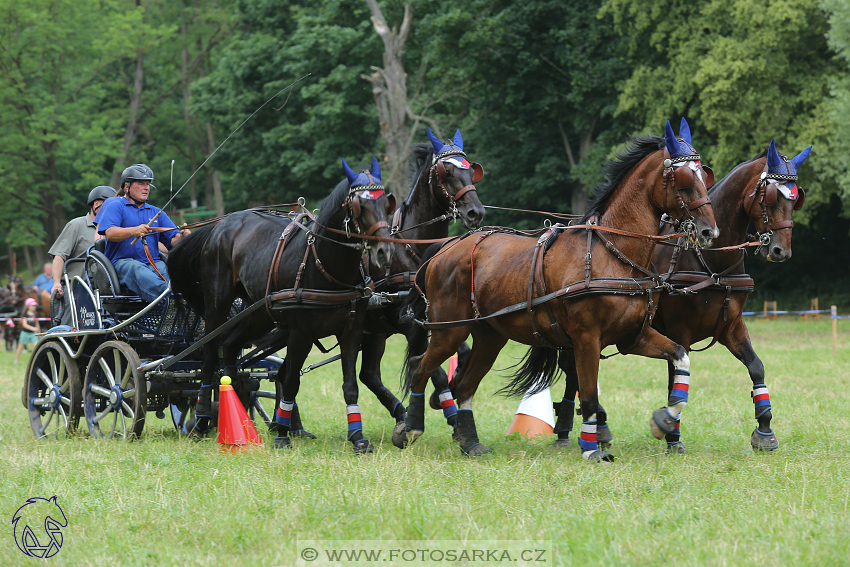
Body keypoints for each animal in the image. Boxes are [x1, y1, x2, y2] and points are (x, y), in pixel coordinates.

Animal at [167, 159, 396, 452]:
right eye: (359, 206)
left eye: (385, 203)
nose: (384, 252)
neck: (325, 266)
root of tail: (221, 224)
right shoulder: (301, 334)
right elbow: (290, 380)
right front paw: (283, 434)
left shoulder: (351, 332)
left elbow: (350, 385)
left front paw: (357, 437)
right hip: (218, 302)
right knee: (209, 353)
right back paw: (203, 418)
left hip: (259, 312)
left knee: (230, 348)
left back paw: (239, 420)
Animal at [352, 127, 484, 430]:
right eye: (446, 172)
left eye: (471, 170)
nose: (476, 212)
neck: (413, 248)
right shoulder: (407, 321)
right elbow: (429, 366)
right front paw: (445, 404)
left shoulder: (436, 316)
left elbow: (462, 352)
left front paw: (453, 386)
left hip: (374, 331)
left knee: (369, 375)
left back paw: (399, 412)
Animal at [390, 120, 716, 462]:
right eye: (683, 179)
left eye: (703, 175)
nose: (710, 230)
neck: (612, 254)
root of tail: (445, 248)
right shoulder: (586, 339)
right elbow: (588, 395)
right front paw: (591, 448)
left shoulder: (633, 337)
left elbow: (681, 358)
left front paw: (665, 420)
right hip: (449, 331)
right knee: (420, 368)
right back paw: (410, 428)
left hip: (490, 336)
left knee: (464, 386)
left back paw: (470, 442)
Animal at [548, 138, 808, 452]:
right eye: (770, 197)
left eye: (795, 199)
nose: (782, 250)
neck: (710, 263)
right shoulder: (678, 330)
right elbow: (676, 377)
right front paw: (672, 432)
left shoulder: (731, 327)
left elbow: (756, 367)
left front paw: (765, 428)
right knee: (574, 370)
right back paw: (572, 428)